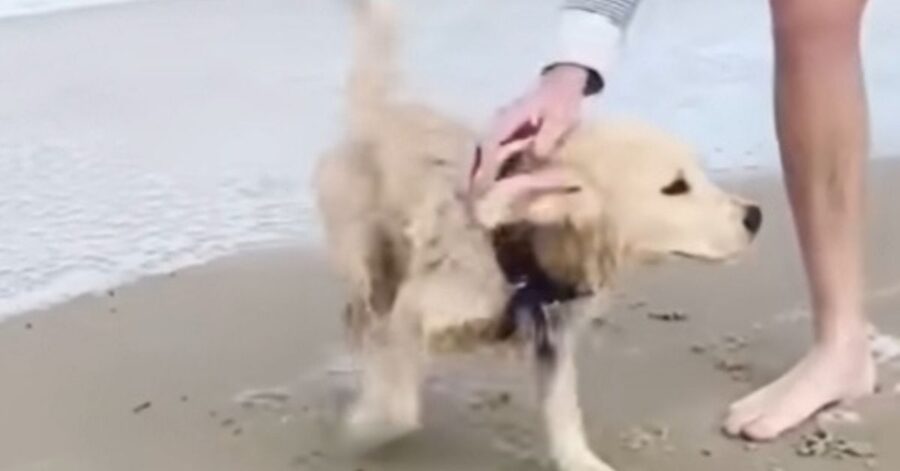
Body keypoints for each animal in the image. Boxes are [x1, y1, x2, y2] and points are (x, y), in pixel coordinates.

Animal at [312, 1, 764, 470]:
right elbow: (398, 403)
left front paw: (581, 460)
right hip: (366, 251)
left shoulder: (552, 332)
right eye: (675, 187)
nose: (755, 216)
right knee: (364, 313)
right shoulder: (414, 310)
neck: (518, 243)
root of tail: (381, 108)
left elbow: (563, 409)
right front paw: (364, 426)